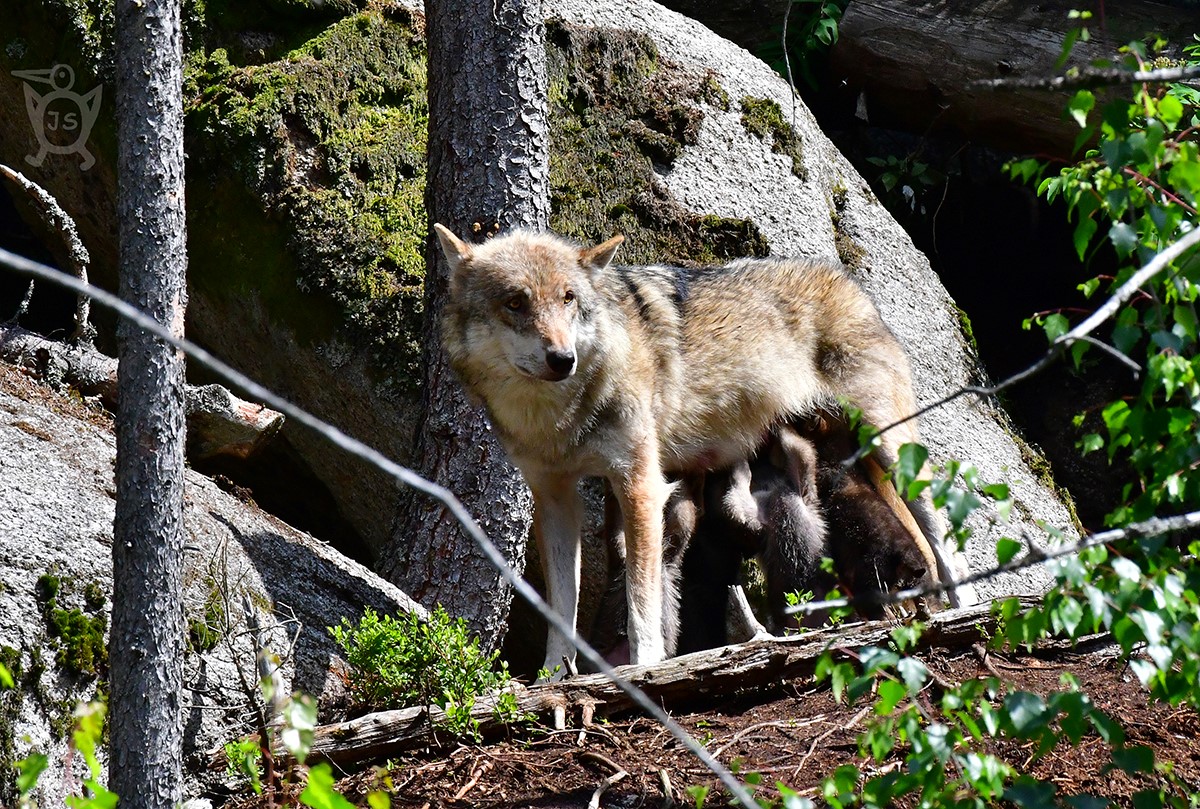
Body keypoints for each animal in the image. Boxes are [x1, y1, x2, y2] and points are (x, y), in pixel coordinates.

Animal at [434, 223, 974, 672]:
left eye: (568, 299)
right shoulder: (555, 499)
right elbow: (561, 609)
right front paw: (550, 676)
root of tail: (848, 281)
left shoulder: (640, 485)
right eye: (516, 303)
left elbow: (642, 601)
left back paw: (963, 609)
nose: (562, 358)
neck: (555, 416)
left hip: (892, 450)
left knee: (943, 540)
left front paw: (644, 667)